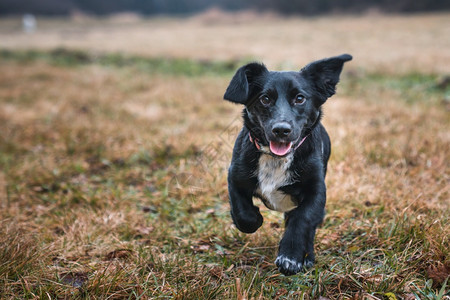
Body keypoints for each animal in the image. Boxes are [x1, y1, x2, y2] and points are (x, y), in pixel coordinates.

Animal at [223, 53, 354, 274]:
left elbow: (302, 220)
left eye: (300, 98)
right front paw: (255, 219)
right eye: (265, 99)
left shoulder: (316, 192)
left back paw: (307, 256)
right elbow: (242, 213)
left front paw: (291, 256)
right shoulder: (235, 177)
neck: (276, 159)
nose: (281, 130)